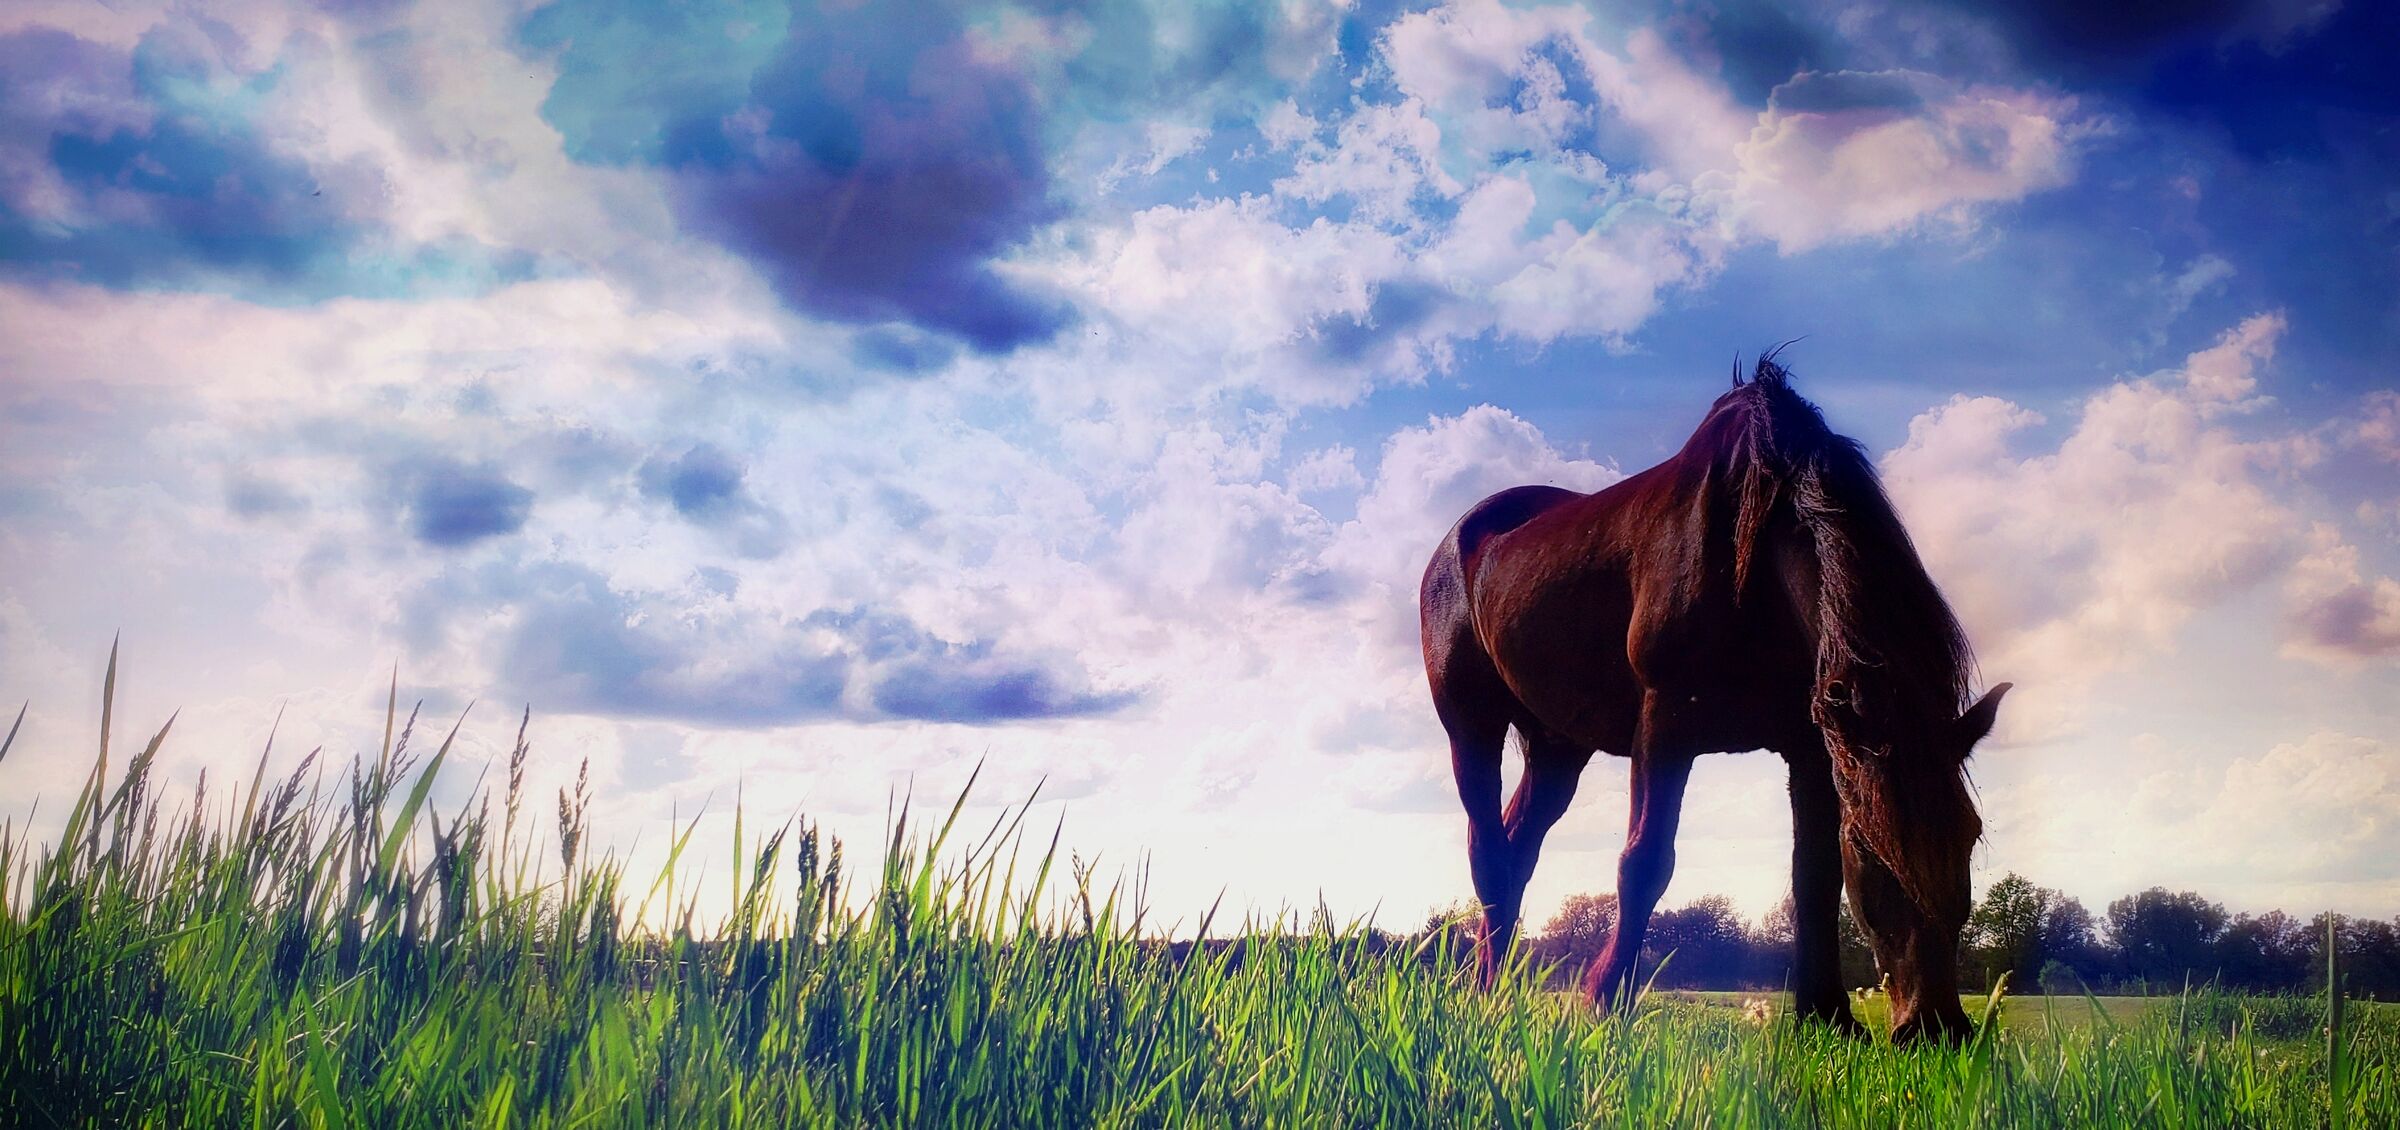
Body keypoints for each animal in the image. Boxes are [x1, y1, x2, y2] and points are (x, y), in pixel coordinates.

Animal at [1419, 357, 2009, 1044]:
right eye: (1871, 845)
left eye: (1970, 834)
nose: (1937, 1026)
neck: (1751, 560)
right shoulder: (1665, 724)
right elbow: (1644, 861)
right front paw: (1602, 1001)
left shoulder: (1813, 746)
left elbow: (1814, 877)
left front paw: (1827, 1018)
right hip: (1472, 726)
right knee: (1489, 851)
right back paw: (1487, 996)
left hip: (1557, 746)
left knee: (1518, 847)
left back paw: (1497, 988)